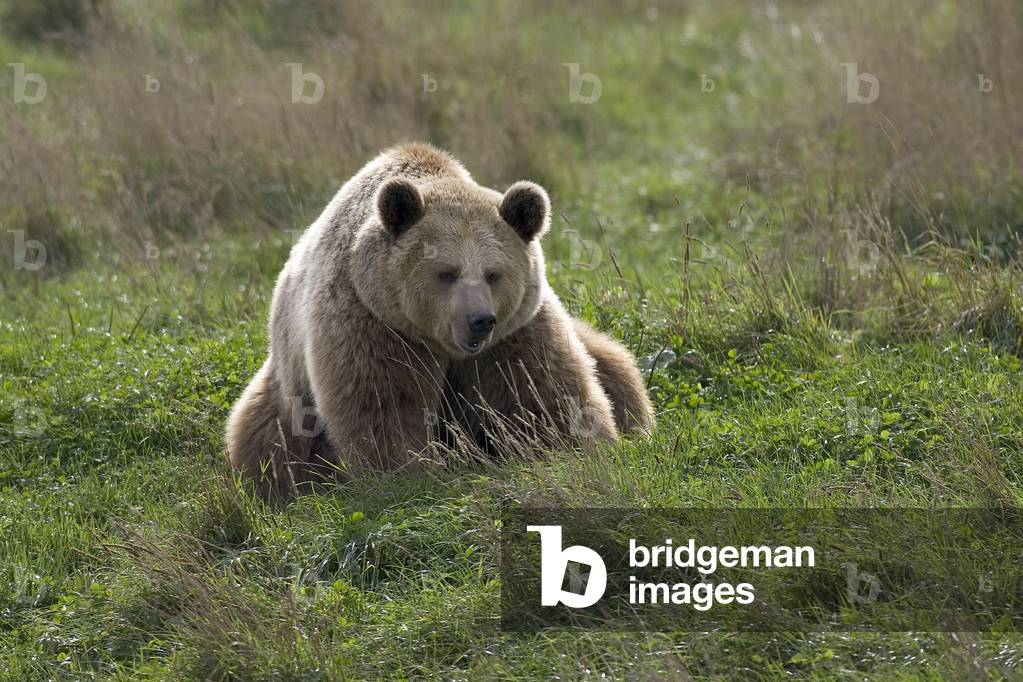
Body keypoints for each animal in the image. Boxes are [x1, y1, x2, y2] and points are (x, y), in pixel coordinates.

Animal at [226, 142, 653, 497]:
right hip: (286, 396)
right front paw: (413, 471)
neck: (440, 345)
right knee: (271, 444)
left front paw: (577, 449)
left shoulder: (516, 336)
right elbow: (386, 407)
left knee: (616, 368)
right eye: (446, 273)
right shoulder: (375, 324)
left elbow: (545, 396)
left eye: (493, 274)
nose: (481, 319)